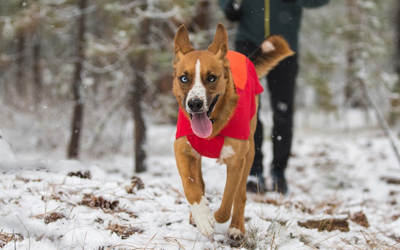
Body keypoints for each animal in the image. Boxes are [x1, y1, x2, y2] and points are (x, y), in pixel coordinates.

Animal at [172, 23, 294, 240]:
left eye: (212, 78)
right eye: (184, 78)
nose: (195, 104)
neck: (214, 125)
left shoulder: (237, 160)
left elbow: (229, 197)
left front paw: (216, 218)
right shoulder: (182, 150)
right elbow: (191, 187)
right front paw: (203, 217)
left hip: (251, 151)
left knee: (241, 194)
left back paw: (236, 226)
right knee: (200, 183)